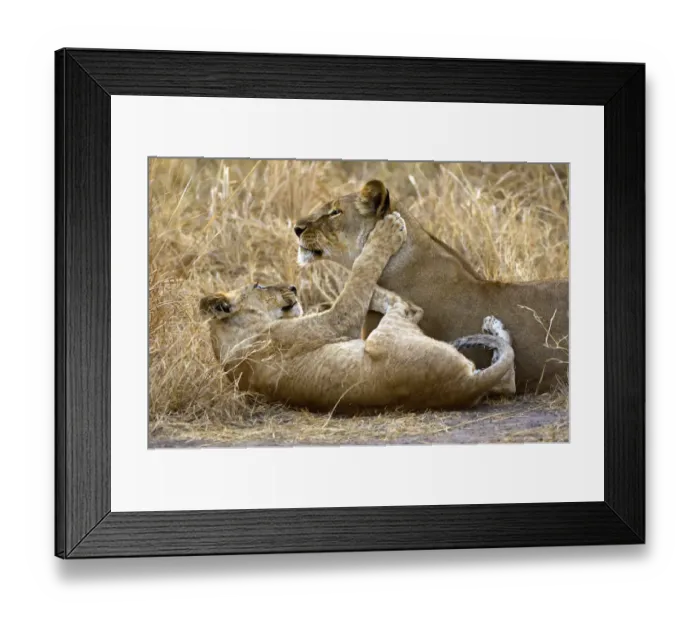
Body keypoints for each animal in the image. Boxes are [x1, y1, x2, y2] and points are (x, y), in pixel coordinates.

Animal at [200, 213, 516, 411]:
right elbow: (357, 284)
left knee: (509, 380)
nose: (293, 287)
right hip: (381, 339)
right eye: (258, 284)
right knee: (410, 308)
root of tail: (462, 385)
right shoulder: (335, 322)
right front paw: (387, 233)